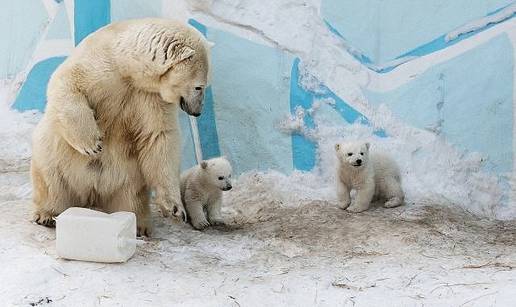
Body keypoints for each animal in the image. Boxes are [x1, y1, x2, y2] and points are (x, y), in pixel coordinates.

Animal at [30, 18, 212, 237]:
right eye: (199, 86)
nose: (198, 112)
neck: (127, 66)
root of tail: (92, 194)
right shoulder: (100, 66)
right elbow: (67, 84)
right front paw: (92, 144)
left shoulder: (150, 97)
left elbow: (159, 137)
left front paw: (175, 208)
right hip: (54, 158)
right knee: (52, 183)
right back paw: (47, 215)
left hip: (129, 176)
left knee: (131, 199)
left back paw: (139, 226)